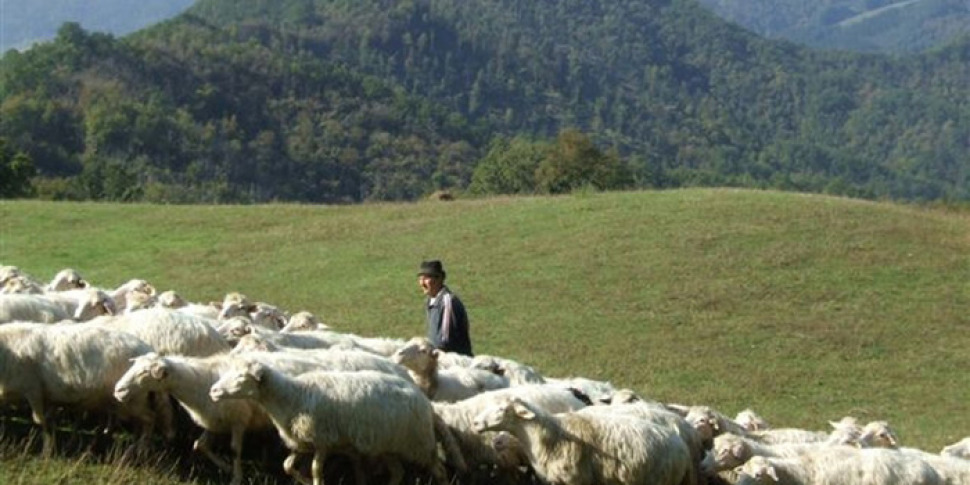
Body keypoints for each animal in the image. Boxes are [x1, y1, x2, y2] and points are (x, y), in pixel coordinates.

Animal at [0, 322, 163, 454]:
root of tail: (146, 348)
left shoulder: (33, 389)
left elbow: (41, 421)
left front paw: (48, 450)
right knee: (139, 421)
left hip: (132, 396)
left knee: (150, 418)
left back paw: (142, 449)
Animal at [207, 362, 454, 484]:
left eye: (242, 377)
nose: (213, 391)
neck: (293, 395)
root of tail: (426, 402)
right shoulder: (304, 443)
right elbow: (287, 465)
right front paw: (304, 481)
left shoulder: (323, 441)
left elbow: (316, 470)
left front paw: (314, 482)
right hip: (389, 446)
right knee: (398, 473)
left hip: (419, 443)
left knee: (440, 471)